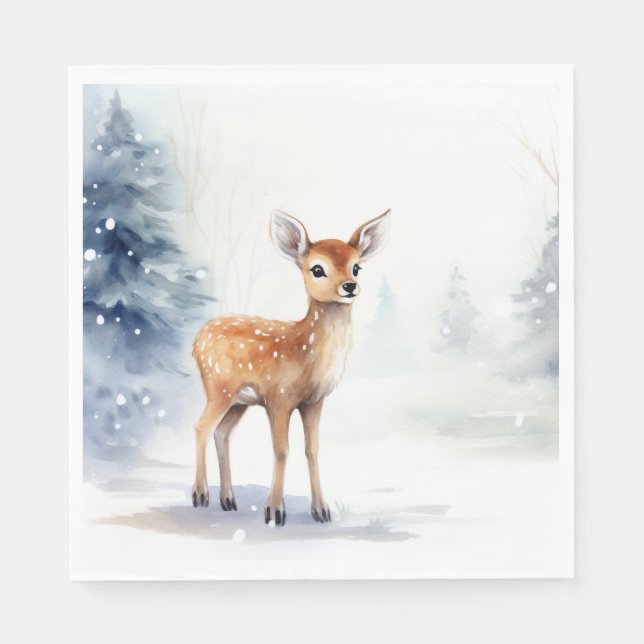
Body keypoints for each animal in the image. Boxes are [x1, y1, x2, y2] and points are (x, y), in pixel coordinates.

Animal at [191, 209, 390, 526]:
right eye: (317, 269)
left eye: (357, 267)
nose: (350, 286)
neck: (305, 355)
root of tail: (197, 339)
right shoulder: (278, 397)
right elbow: (282, 450)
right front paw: (274, 511)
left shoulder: (314, 401)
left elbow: (312, 450)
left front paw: (321, 511)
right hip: (218, 387)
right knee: (201, 428)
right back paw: (200, 496)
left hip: (239, 401)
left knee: (222, 433)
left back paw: (228, 500)